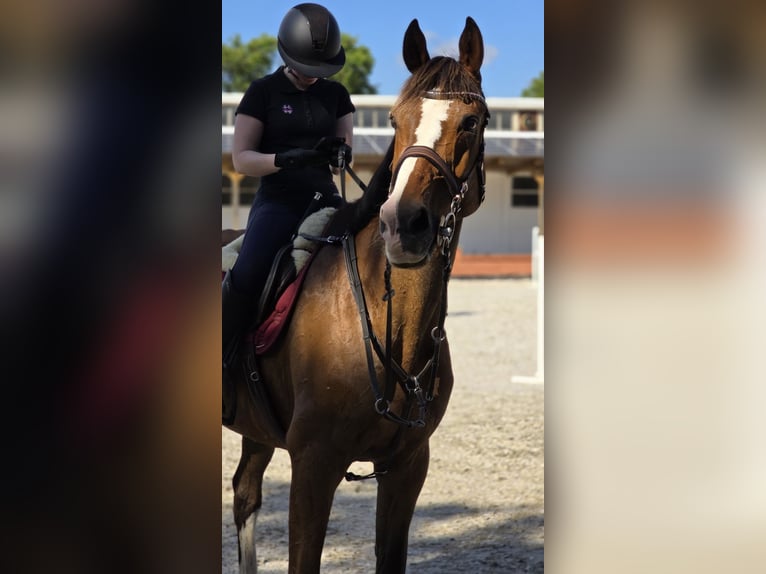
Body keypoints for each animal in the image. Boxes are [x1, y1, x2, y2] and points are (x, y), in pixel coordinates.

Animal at [224, 16, 489, 573]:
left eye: (472, 122)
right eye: (393, 119)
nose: (403, 225)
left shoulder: (407, 467)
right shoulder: (313, 465)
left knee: (244, 492)